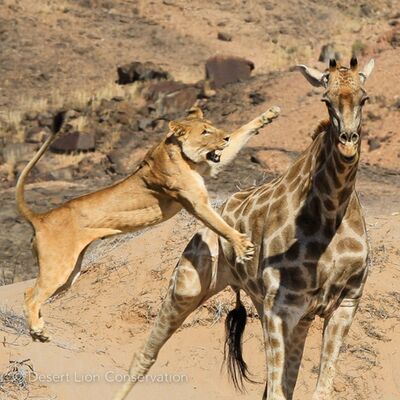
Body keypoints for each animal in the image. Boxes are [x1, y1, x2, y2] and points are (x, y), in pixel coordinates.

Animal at [113, 57, 376, 400]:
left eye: (364, 98)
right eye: (326, 99)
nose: (348, 141)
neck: (331, 215)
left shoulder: (345, 301)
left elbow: (316, 389)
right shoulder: (281, 306)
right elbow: (278, 392)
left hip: (279, 309)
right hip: (187, 285)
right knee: (146, 353)